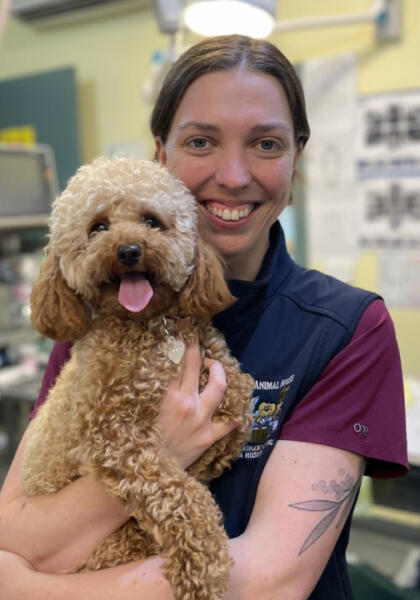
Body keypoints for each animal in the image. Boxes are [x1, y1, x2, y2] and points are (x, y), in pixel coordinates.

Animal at [22, 156, 253, 600]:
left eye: (151, 221)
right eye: (98, 227)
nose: (128, 251)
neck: (149, 327)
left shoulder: (225, 392)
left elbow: (237, 397)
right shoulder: (115, 439)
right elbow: (179, 495)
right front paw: (203, 567)